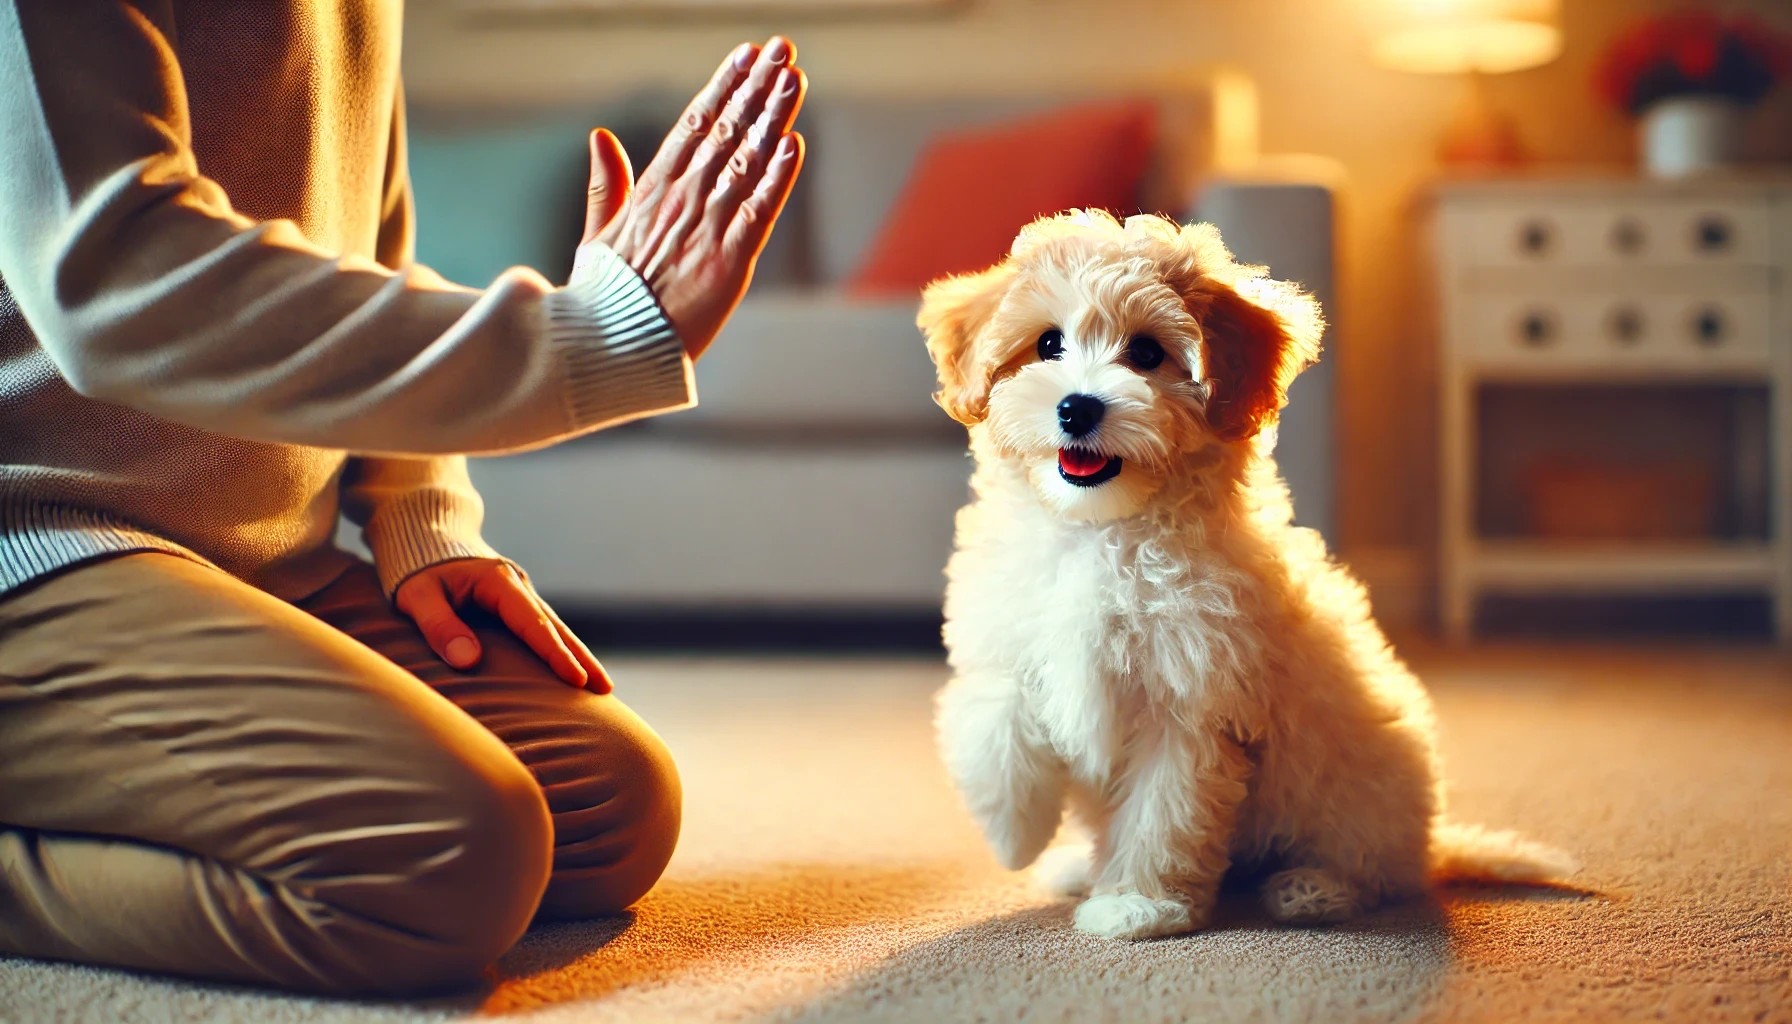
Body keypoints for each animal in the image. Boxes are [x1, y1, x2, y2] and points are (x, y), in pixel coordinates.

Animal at [917, 212, 1576, 939]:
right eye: (1048, 343)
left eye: (1146, 353)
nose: (1077, 409)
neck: (1104, 530)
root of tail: (1430, 847)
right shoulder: (1008, 634)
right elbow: (991, 719)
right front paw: (1016, 835)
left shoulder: (1190, 702)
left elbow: (1161, 813)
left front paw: (1136, 904)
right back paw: (1076, 867)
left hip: (1362, 786)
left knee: (1376, 871)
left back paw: (1314, 889)